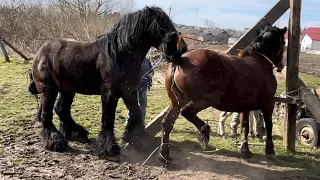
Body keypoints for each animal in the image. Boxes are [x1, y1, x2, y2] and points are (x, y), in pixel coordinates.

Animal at [28, 6, 188, 160]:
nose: (182, 49)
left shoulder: (129, 90)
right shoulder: (110, 92)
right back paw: (55, 141)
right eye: (160, 26)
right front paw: (109, 148)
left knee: (61, 109)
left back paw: (77, 134)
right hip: (48, 89)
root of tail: (40, 53)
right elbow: (108, 118)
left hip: (67, 89)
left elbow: (136, 113)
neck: (119, 53)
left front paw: (138, 139)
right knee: (46, 113)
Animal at [160, 25, 288, 165]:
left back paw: (165, 156)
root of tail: (181, 59)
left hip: (176, 102)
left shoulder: (245, 107)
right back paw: (204, 133)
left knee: (167, 123)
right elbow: (269, 125)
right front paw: (270, 151)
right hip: (205, 100)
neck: (259, 62)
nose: (281, 65)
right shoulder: (268, 103)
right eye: (283, 42)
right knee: (187, 112)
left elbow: (244, 127)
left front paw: (245, 151)